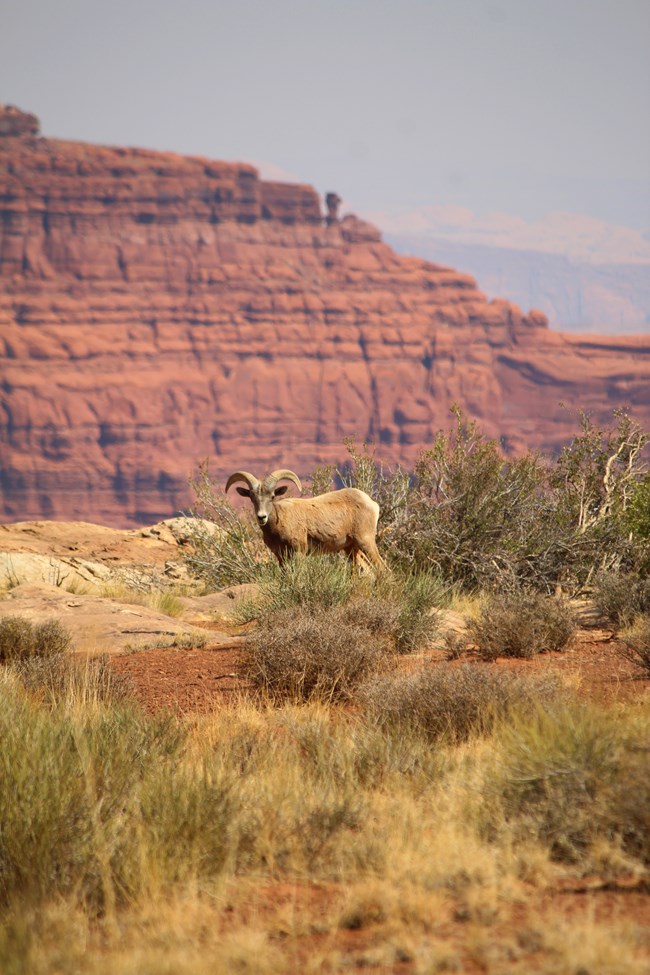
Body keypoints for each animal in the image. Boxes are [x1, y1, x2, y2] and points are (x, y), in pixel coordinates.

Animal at [224, 470, 384, 572]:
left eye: (272, 496)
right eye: (252, 497)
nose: (261, 517)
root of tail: (372, 504)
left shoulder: (299, 552)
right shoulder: (281, 557)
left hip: (365, 542)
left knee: (382, 567)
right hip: (351, 548)